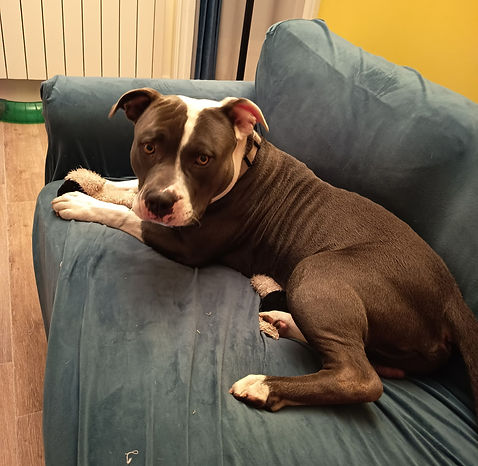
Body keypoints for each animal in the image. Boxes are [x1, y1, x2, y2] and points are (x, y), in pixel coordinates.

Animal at [52, 88, 478, 413]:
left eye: (203, 158)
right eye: (149, 146)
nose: (159, 201)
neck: (242, 165)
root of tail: (454, 299)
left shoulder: (187, 243)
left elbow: (126, 215)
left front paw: (81, 202)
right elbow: (128, 192)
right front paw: (98, 185)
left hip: (318, 272)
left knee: (358, 376)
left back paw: (264, 385)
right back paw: (284, 322)